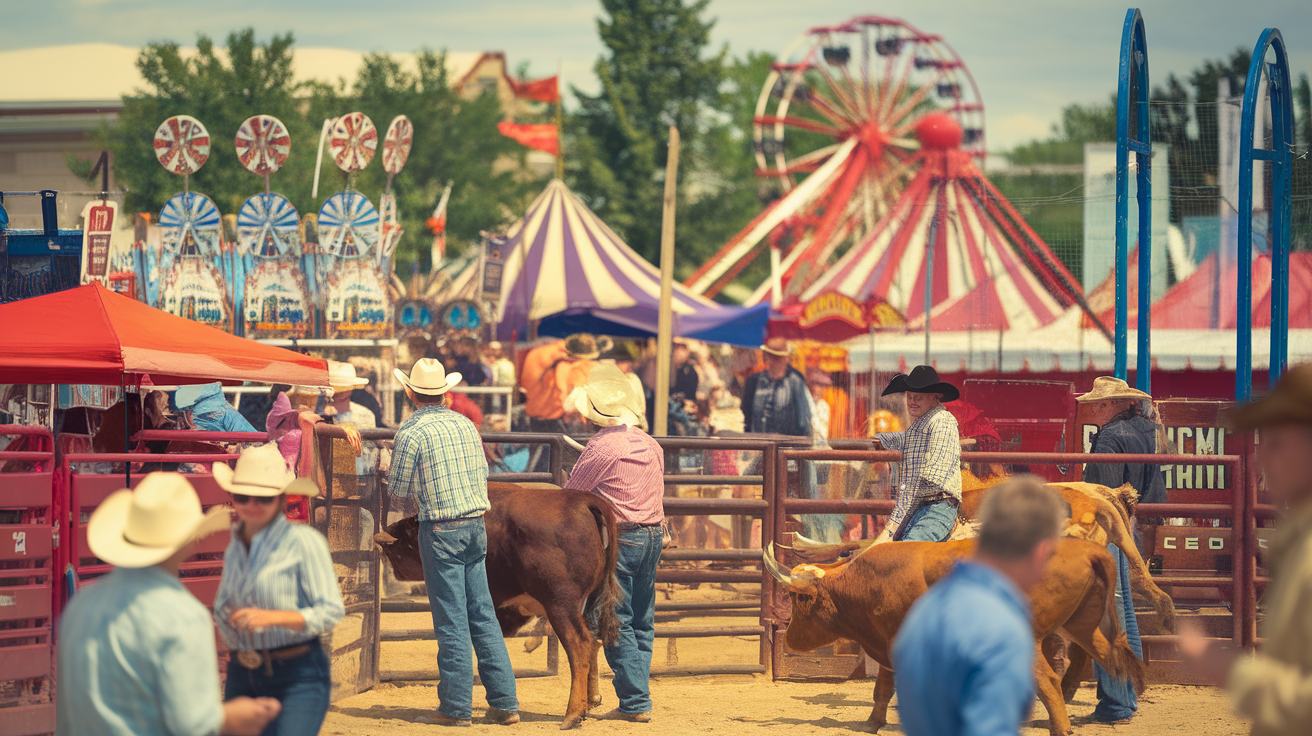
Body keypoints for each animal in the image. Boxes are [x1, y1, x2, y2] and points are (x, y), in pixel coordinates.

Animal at [375, 480, 619, 724]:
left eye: (397, 551)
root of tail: (584, 501)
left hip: (560, 606)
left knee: (580, 646)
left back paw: (573, 714)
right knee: (593, 643)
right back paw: (590, 700)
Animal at [766, 532, 1144, 734]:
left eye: (800, 598)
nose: (790, 639)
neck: (868, 581)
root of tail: (1089, 550)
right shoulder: (887, 644)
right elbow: (882, 689)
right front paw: (873, 723)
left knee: (1049, 680)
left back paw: (1059, 726)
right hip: (1084, 626)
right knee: (1110, 660)